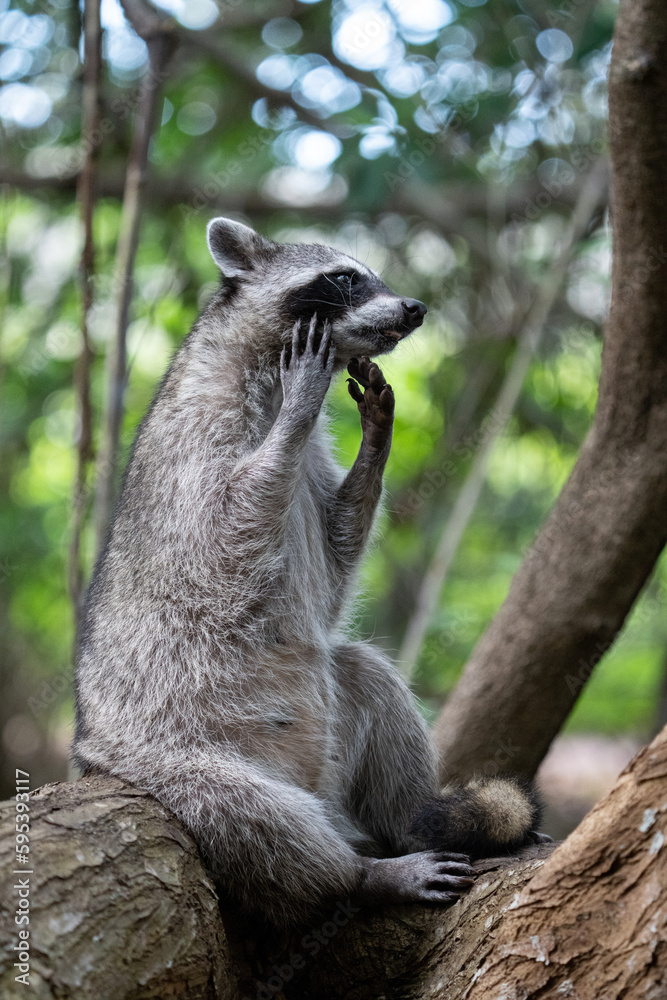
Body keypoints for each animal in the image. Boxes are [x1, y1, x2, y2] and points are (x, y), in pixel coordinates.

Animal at [73, 217, 544, 928]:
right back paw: (356, 876)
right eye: (344, 277)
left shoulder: (315, 467)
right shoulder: (193, 444)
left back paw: (412, 819)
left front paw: (376, 437)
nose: (414, 308)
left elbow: (332, 573)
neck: (263, 362)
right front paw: (298, 407)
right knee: (246, 813)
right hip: (162, 756)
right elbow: (224, 540)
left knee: (366, 672)